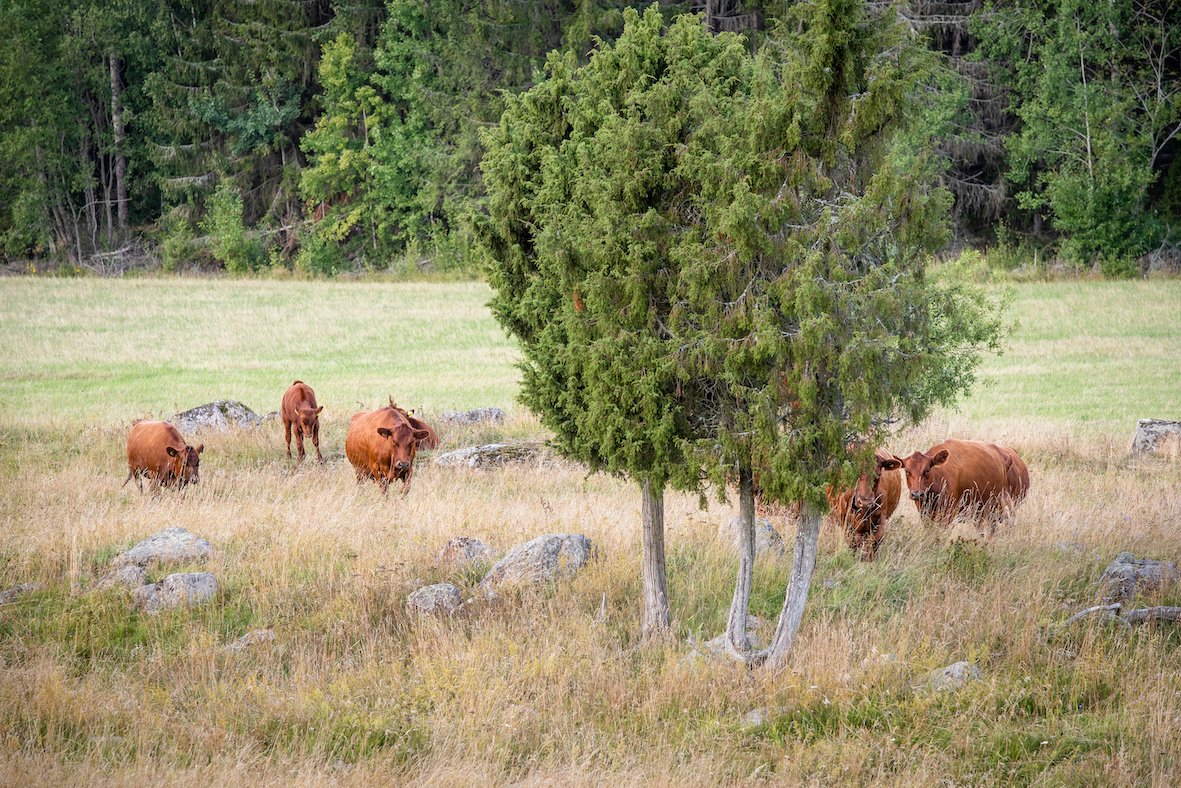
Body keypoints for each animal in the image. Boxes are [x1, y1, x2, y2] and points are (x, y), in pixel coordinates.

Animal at [892, 439, 1029, 531]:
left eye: (927, 470)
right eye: (907, 471)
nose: (916, 494)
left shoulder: (948, 513)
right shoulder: (924, 512)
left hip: (994, 507)